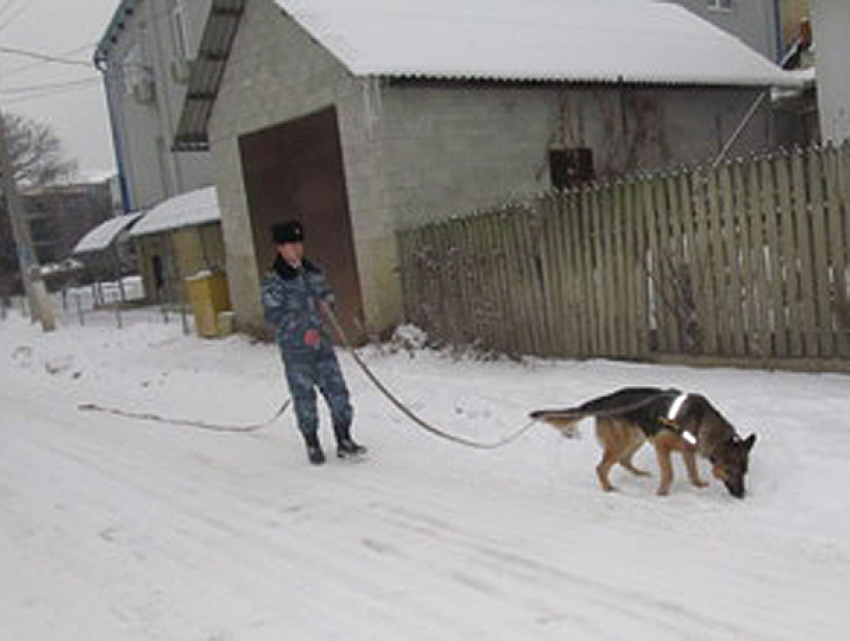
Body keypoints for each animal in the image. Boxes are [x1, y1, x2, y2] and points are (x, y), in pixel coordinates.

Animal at [528, 388, 756, 498]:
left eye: (744, 472)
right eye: (730, 471)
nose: (742, 496)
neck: (701, 422)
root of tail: (605, 400)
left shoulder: (687, 450)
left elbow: (692, 470)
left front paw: (697, 484)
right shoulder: (661, 446)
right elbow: (669, 473)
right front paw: (662, 493)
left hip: (636, 439)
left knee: (624, 461)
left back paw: (639, 474)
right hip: (623, 442)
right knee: (601, 467)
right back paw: (608, 488)